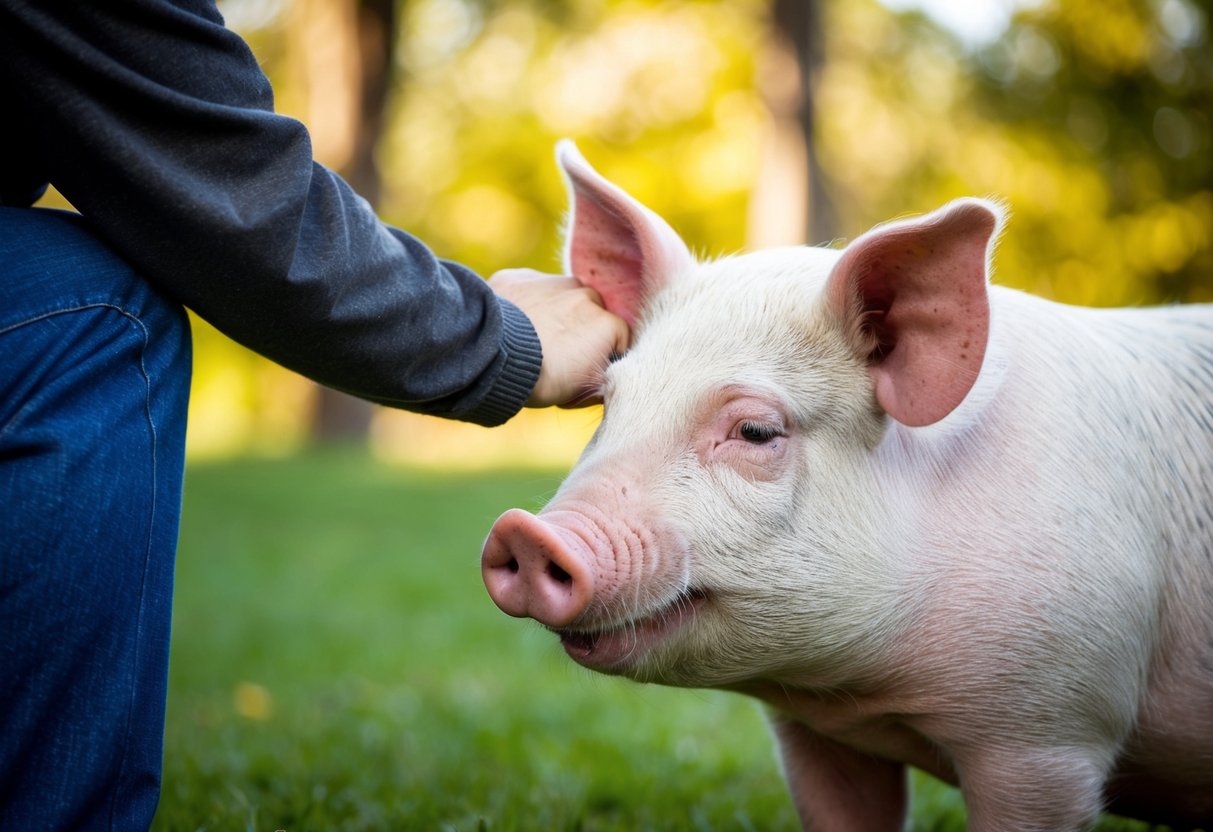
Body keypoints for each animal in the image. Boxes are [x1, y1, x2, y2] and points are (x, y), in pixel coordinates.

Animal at [481, 141, 1213, 831]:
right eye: (610, 401)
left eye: (754, 431)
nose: (526, 532)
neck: (862, 692)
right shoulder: (815, 735)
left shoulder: (1051, 734)